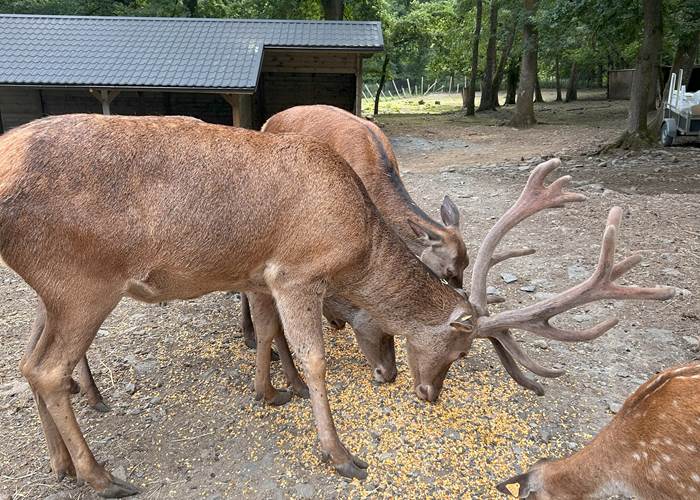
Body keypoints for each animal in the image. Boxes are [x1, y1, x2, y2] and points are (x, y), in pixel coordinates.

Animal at [0, 114, 673, 497]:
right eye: (460, 348)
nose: (429, 394)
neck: (359, 241)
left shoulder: (260, 274)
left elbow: (266, 333)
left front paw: (271, 393)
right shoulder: (296, 270)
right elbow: (317, 359)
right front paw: (341, 455)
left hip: (56, 288)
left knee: (29, 362)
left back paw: (61, 465)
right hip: (83, 281)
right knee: (47, 368)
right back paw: (102, 476)